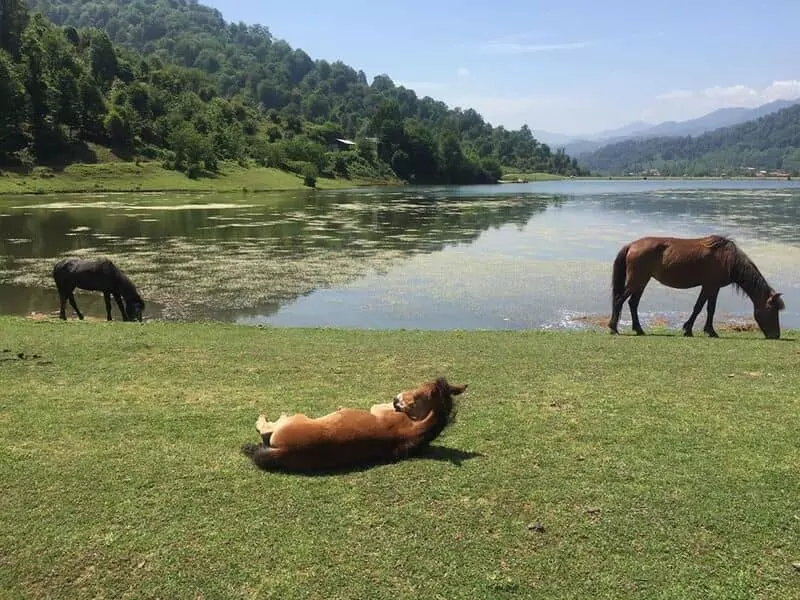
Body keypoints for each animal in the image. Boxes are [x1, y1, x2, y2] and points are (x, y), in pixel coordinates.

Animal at [241, 376, 466, 474]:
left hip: (296, 417)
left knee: (266, 428)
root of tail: (285, 450)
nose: (397, 399)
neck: (415, 428)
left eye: (419, 395)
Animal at [608, 233, 784, 338]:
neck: (728, 259)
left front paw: (706, 330)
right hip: (637, 281)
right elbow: (701, 307)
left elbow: (708, 308)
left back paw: (639, 329)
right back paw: (613, 329)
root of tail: (631, 245)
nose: (776, 335)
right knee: (619, 300)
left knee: (632, 303)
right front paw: (692, 330)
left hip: (641, 282)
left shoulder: (713, 288)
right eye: (772, 310)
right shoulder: (709, 286)